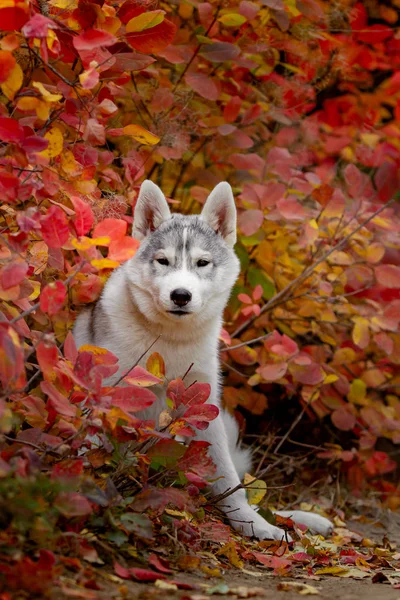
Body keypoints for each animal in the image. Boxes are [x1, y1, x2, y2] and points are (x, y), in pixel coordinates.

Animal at [73, 180, 332, 540]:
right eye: (163, 261)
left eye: (202, 263)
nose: (181, 295)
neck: (169, 340)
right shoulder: (106, 394)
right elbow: (89, 448)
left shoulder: (206, 409)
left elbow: (230, 482)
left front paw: (252, 524)